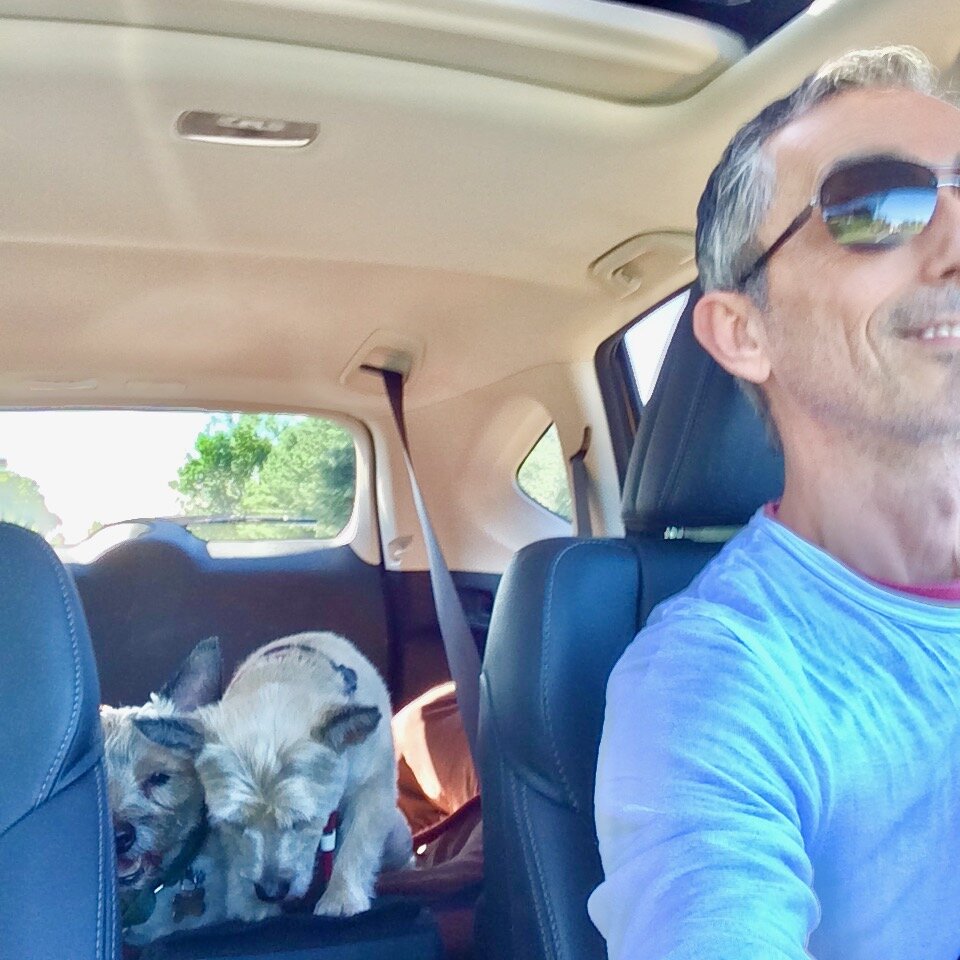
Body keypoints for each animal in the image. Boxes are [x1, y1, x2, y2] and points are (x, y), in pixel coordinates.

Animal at [135, 632, 413, 922]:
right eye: (235, 824)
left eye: (303, 821)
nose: (270, 892)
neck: (285, 671)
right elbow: (237, 858)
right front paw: (249, 904)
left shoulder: (373, 788)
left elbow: (357, 843)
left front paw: (341, 896)